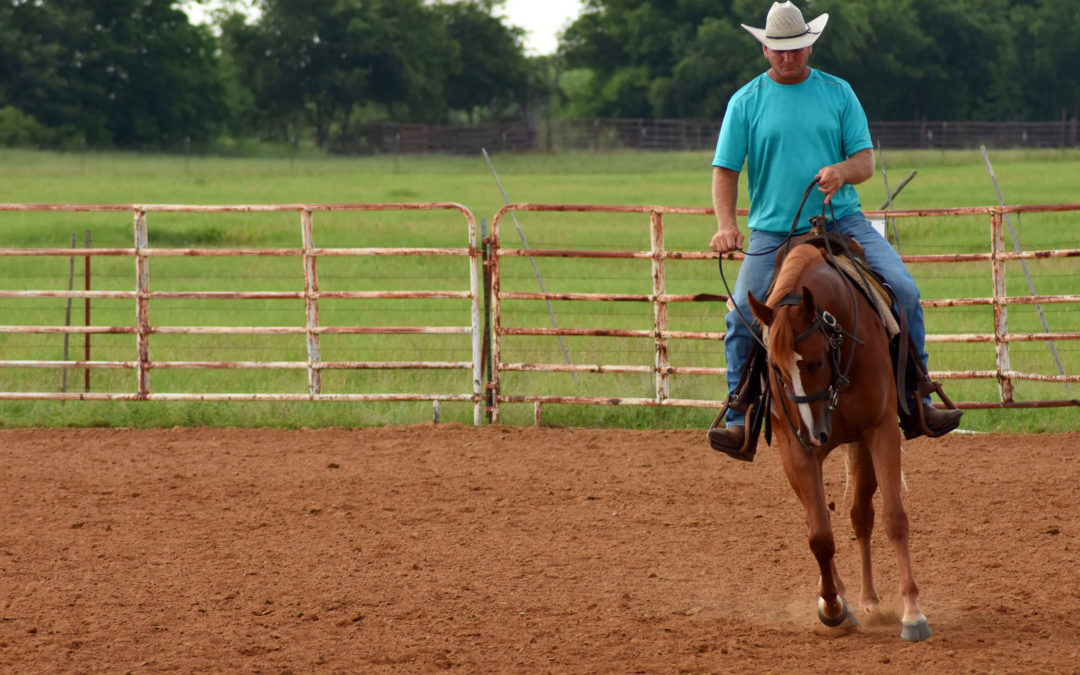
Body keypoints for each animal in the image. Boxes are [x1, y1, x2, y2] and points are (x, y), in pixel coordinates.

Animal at [747, 240, 933, 635]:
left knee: (861, 515)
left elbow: (895, 518)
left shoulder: (880, 430)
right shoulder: (796, 449)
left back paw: (870, 599)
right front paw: (832, 606)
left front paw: (912, 611)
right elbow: (819, 535)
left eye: (816, 362)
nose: (813, 433)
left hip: (859, 446)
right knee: (824, 520)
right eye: (776, 369)